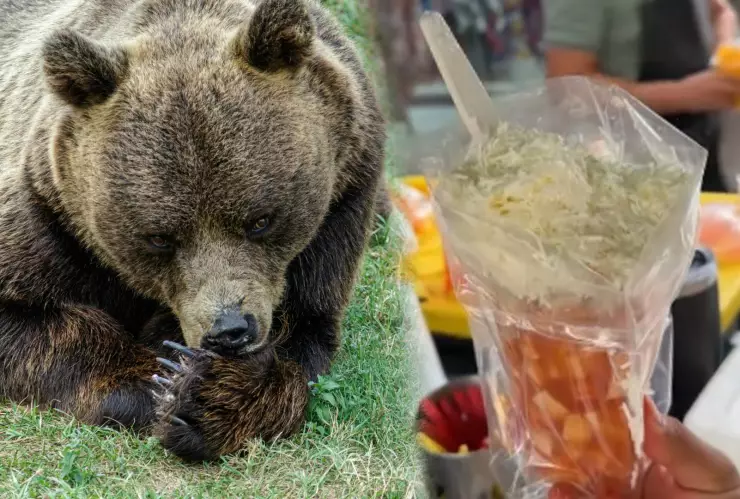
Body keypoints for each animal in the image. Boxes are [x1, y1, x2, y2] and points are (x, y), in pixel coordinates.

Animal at [0, 0, 386, 462]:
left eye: (261, 220)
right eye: (159, 238)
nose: (230, 331)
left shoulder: (342, 203)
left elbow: (305, 330)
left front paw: (210, 396)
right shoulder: (50, 215)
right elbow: (34, 317)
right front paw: (160, 381)